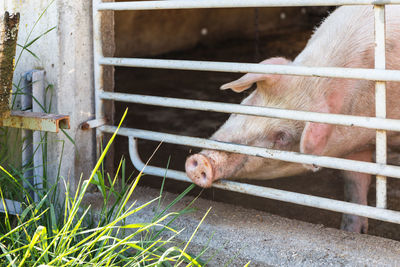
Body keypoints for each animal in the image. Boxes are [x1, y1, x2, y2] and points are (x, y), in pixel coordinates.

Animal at [186, 4, 400, 234]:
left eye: (282, 137)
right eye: (246, 104)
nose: (201, 161)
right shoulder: (355, 143)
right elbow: (355, 184)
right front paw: (351, 231)